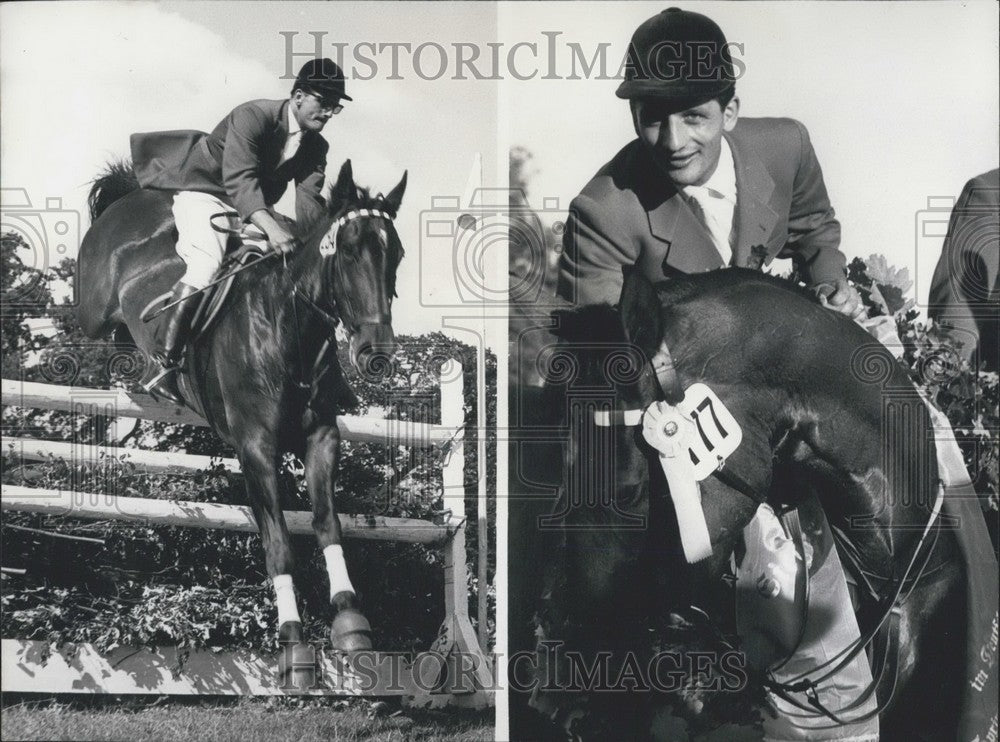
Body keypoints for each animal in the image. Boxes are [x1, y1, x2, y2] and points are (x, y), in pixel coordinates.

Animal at [75, 160, 406, 684]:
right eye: (348, 250)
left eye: (396, 254)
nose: (377, 354)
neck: (286, 330)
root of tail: (130, 194)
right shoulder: (255, 447)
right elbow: (279, 544)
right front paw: (293, 645)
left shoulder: (321, 438)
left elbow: (328, 523)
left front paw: (350, 618)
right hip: (92, 307)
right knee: (96, 326)